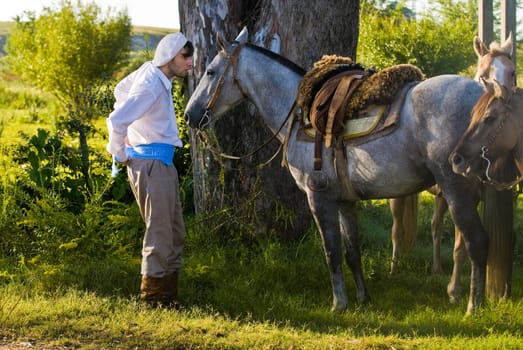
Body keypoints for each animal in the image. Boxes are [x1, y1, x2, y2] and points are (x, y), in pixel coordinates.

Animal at [184, 29, 488, 314]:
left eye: (210, 71)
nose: (189, 115)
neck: (298, 114)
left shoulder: (318, 197)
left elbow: (332, 252)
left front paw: (339, 303)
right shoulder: (345, 201)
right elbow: (352, 251)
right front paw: (363, 299)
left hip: (456, 192)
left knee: (476, 243)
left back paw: (474, 306)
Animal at [388, 32, 516, 304]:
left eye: (512, 72)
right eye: (483, 75)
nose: (503, 103)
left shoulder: (472, 199)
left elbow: (462, 244)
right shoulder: (464, 198)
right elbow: (460, 247)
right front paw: (455, 292)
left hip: (441, 197)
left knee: (436, 228)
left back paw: (436, 269)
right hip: (401, 194)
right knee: (397, 229)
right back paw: (393, 269)